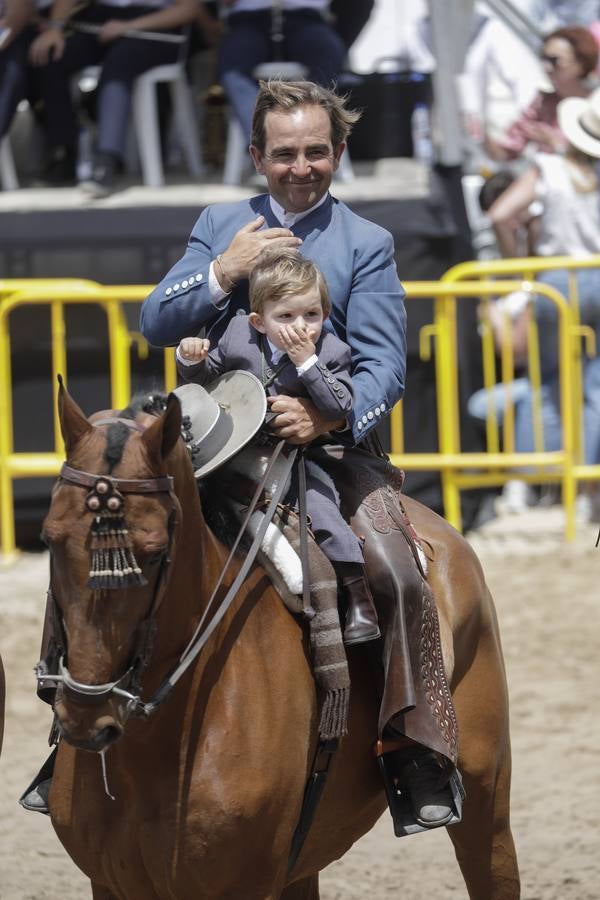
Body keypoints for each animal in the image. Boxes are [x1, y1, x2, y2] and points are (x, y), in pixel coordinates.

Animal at [42, 384, 516, 900]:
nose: (86, 715)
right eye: (50, 539)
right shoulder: (111, 884)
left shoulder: (248, 883)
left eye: (154, 552)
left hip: (487, 796)